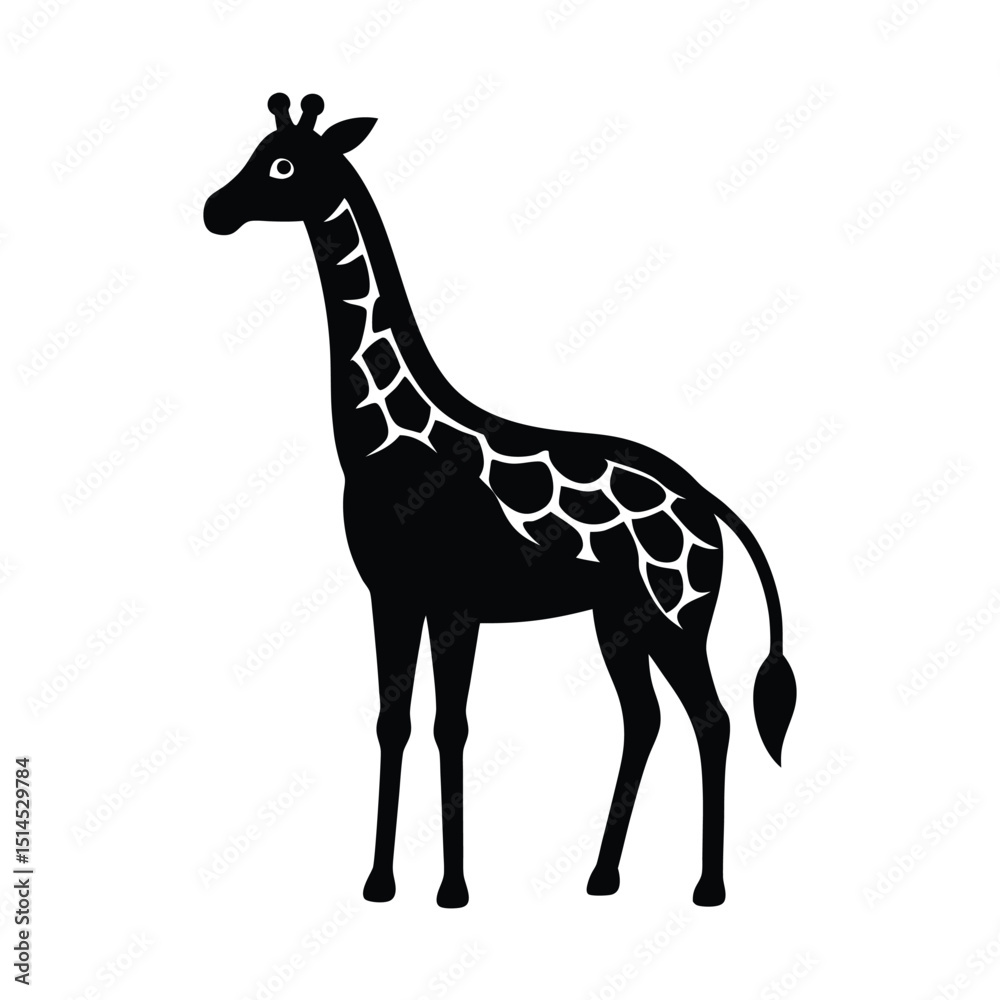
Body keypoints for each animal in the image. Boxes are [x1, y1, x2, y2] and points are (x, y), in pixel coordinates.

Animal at [204, 94, 797, 909]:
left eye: (283, 164)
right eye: (259, 153)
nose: (215, 210)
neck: (384, 443)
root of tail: (708, 502)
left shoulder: (456, 600)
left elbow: (450, 725)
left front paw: (452, 889)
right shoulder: (392, 594)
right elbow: (394, 721)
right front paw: (380, 883)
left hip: (681, 615)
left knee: (713, 720)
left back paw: (708, 888)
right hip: (621, 619)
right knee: (644, 720)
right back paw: (603, 876)